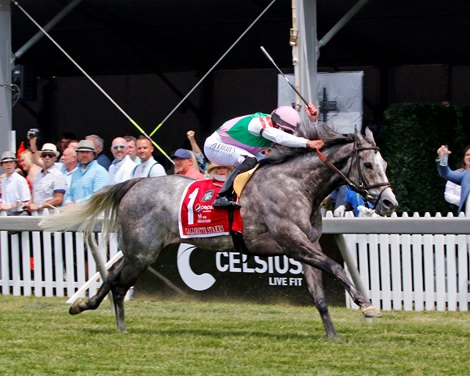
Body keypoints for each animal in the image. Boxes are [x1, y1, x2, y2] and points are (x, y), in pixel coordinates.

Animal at [40, 124, 398, 338]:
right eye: (368, 165)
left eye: (385, 165)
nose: (389, 203)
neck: (298, 185)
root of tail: (136, 182)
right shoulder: (292, 241)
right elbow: (336, 266)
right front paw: (367, 305)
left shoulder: (304, 246)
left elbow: (320, 295)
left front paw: (333, 335)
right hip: (142, 251)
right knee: (116, 280)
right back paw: (105, 317)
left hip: (139, 251)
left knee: (113, 277)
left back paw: (94, 311)